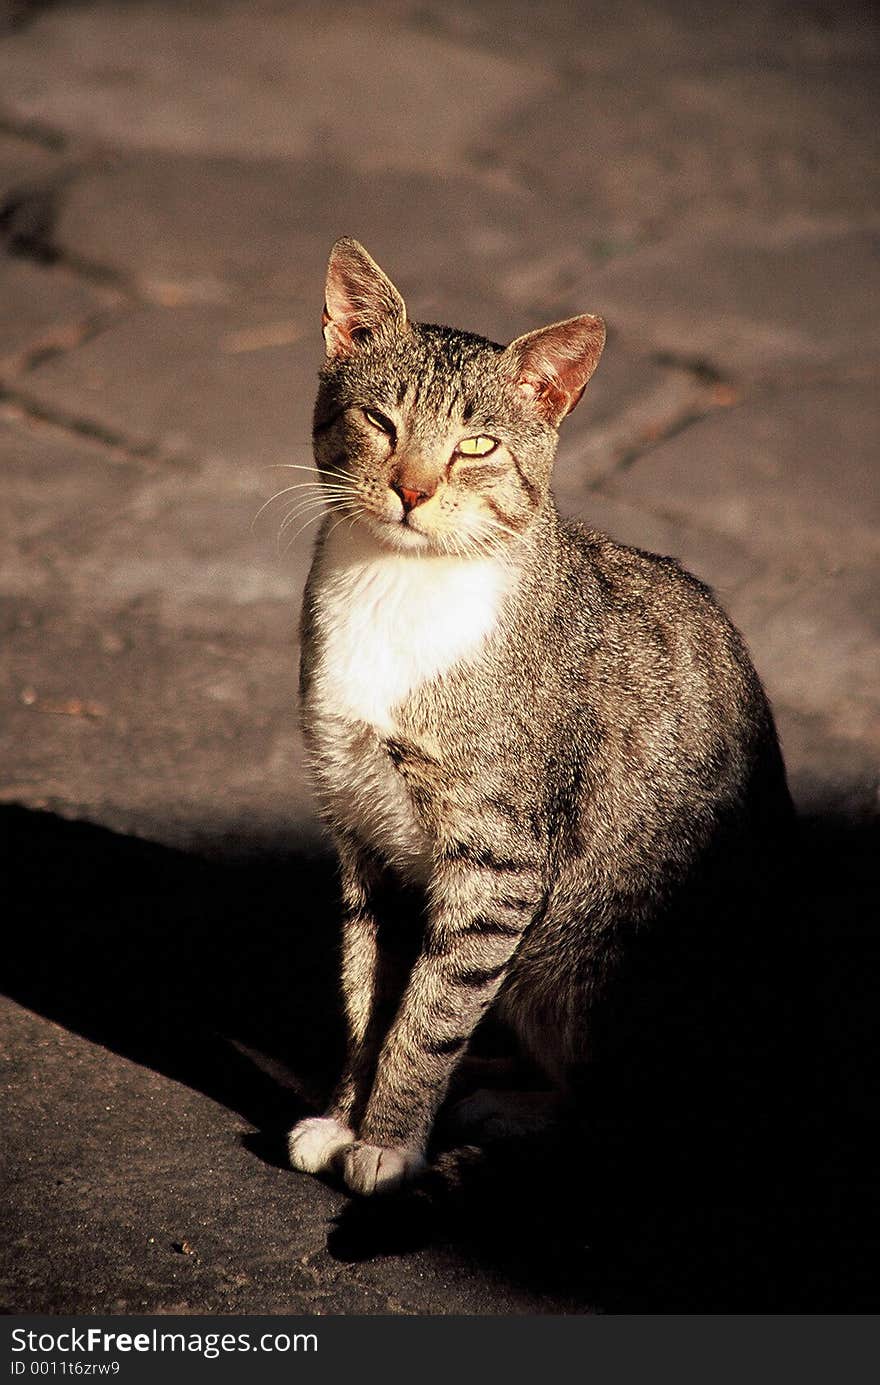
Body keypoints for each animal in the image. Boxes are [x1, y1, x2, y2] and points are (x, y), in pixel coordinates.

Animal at [285, 235, 792, 1191]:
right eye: (380, 422)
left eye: (478, 444)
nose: (410, 490)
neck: (399, 588)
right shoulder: (362, 829)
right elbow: (370, 989)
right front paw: (345, 1113)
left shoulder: (499, 858)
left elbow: (431, 1011)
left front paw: (389, 1137)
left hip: (582, 952)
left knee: (622, 1109)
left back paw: (506, 1104)